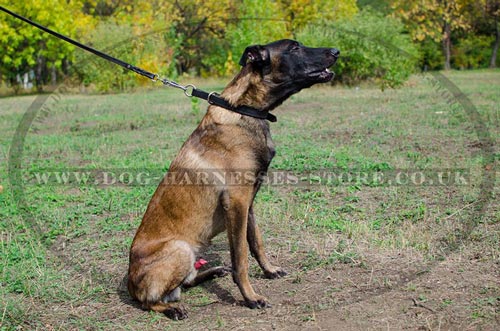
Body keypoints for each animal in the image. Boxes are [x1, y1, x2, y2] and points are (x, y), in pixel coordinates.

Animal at [129, 39, 340, 322]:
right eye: (294, 48)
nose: (336, 51)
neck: (244, 110)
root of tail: (129, 282)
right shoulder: (237, 202)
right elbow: (240, 257)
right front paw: (251, 297)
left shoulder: (248, 203)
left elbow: (256, 242)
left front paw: (269, 270)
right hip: (180, 248)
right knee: (149, 300)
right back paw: (172, 308)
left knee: (186, 281)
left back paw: (213, 272)